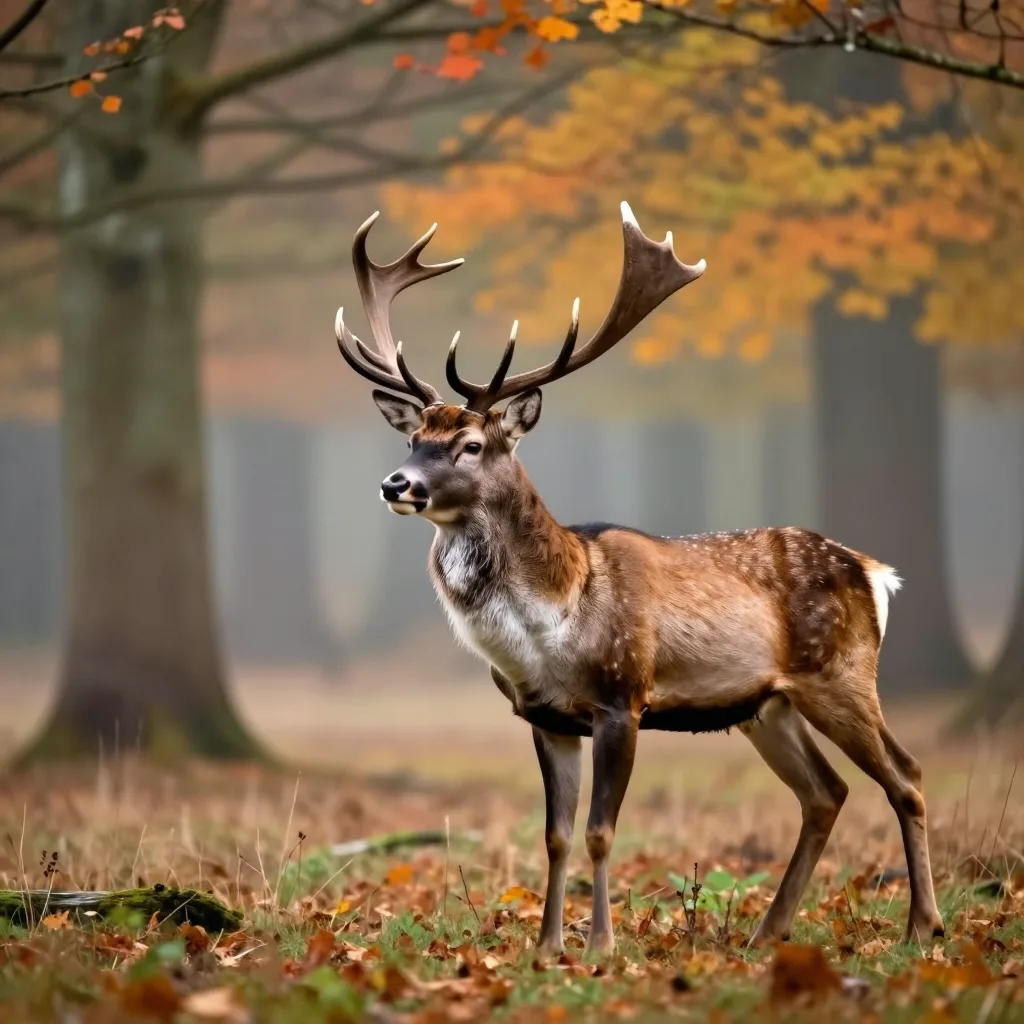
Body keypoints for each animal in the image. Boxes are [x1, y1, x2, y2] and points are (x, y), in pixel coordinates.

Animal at [332, 202, 945, 956]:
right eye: (412, 439)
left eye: (471, 445)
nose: (397, 483)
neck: (554, 622)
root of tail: (874, 572)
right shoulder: (545, 717)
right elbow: (556, 836)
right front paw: (548, 947)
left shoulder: (623, 697)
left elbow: (601, 831)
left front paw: (600, 946)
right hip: (767, 706)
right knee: (826, 792)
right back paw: (765, 933)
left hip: (842, 674)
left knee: (906, 775)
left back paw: (923, 927)